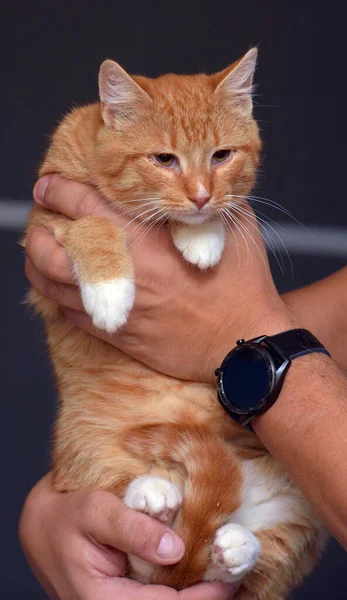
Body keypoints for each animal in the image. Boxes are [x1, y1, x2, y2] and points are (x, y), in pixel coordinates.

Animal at [23, 49, 324, 596]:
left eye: (221, 156)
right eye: (164, 160)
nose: (201, 196)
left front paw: (202, 236)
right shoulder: (42, 229)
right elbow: (94, 223)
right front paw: (110, 292)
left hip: (290, 502)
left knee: (232, 565)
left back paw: (233, 545)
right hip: (85, 452)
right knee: (145, 554)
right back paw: (156, 496)